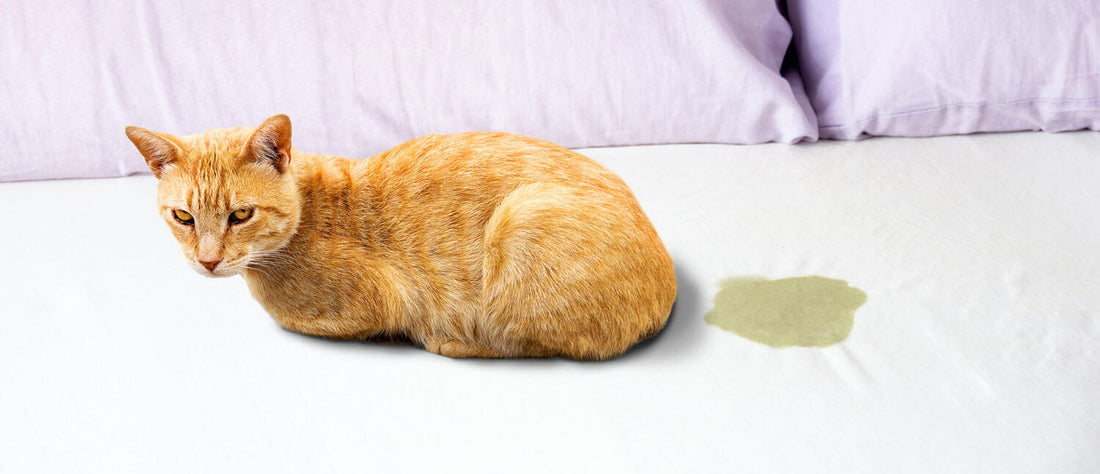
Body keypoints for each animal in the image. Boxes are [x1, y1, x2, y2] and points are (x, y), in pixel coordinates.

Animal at [128, 114, 677, 360]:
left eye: (241, 214)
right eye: (183, 217)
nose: (207, 260)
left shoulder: (381, 303)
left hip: (522, 220)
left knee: (535, 342)